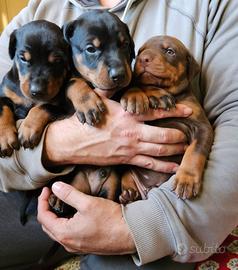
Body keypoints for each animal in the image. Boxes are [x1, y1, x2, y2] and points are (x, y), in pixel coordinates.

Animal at [0, 20, 69, 156]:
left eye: (57, 60)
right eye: (23, 58)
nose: (37, 91)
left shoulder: (64, 108)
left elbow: (42, 107)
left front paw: (28, 129)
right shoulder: (3, 94)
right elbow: (2, 109)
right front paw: (4, 137)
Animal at [120, 35, 213, 200]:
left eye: (170, 51)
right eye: (140, 51)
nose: (143, 59)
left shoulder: (202, 127)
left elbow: (195, 152)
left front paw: (187, 179)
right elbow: (141, 84)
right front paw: (141, 96)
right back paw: (129, 192)